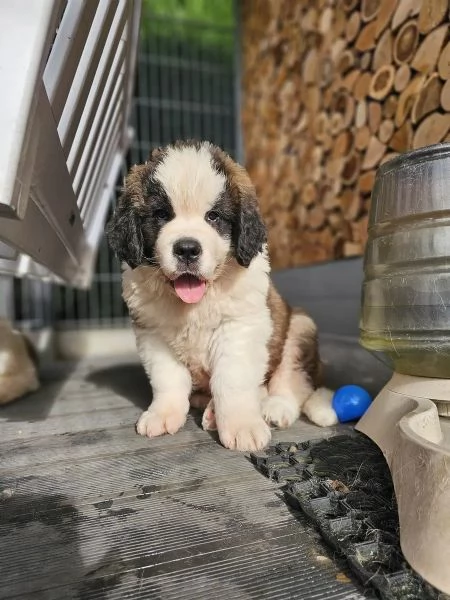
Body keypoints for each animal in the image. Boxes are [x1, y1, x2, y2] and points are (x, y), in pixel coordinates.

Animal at [107, 141, 336, 450]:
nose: (187, 249)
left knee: (293, 381)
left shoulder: (240, 327)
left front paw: (242, 425)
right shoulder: (153, 334)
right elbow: (168, 379)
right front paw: (163, 414)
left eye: (213, 216)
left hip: (300, 327)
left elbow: (233, 380)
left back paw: (274, 407)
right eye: (162, 215)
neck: (195, 302)